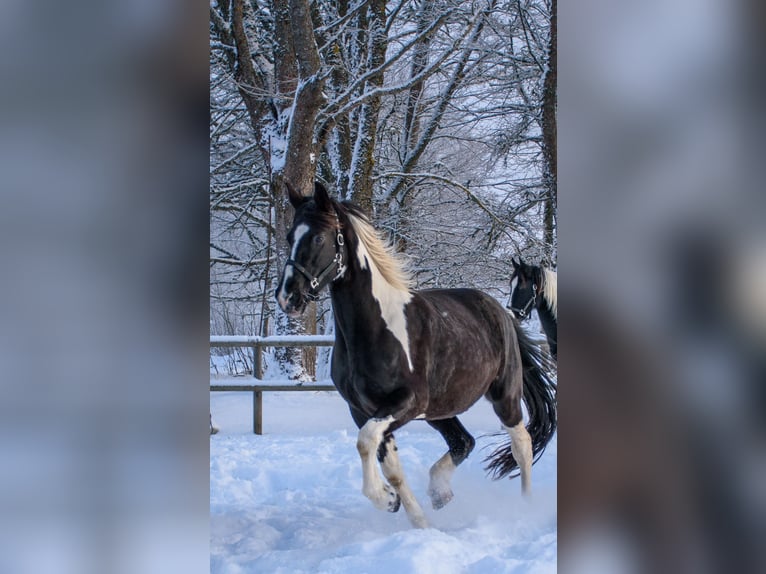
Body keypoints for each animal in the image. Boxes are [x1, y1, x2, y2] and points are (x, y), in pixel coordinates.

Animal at [276, 184, 560, 532]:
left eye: (318, 237)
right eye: (290, 236)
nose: (288, 297)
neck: (373, 328)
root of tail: (502, 312)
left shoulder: (407, 402)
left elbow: (365, 441)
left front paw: (385, 498)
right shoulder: (364, 410)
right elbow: (390, 466)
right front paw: (405, 510)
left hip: (503, 395)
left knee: (522, 445)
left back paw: (525, 506)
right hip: (442, 408)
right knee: (464, 442)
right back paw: (440, 492)